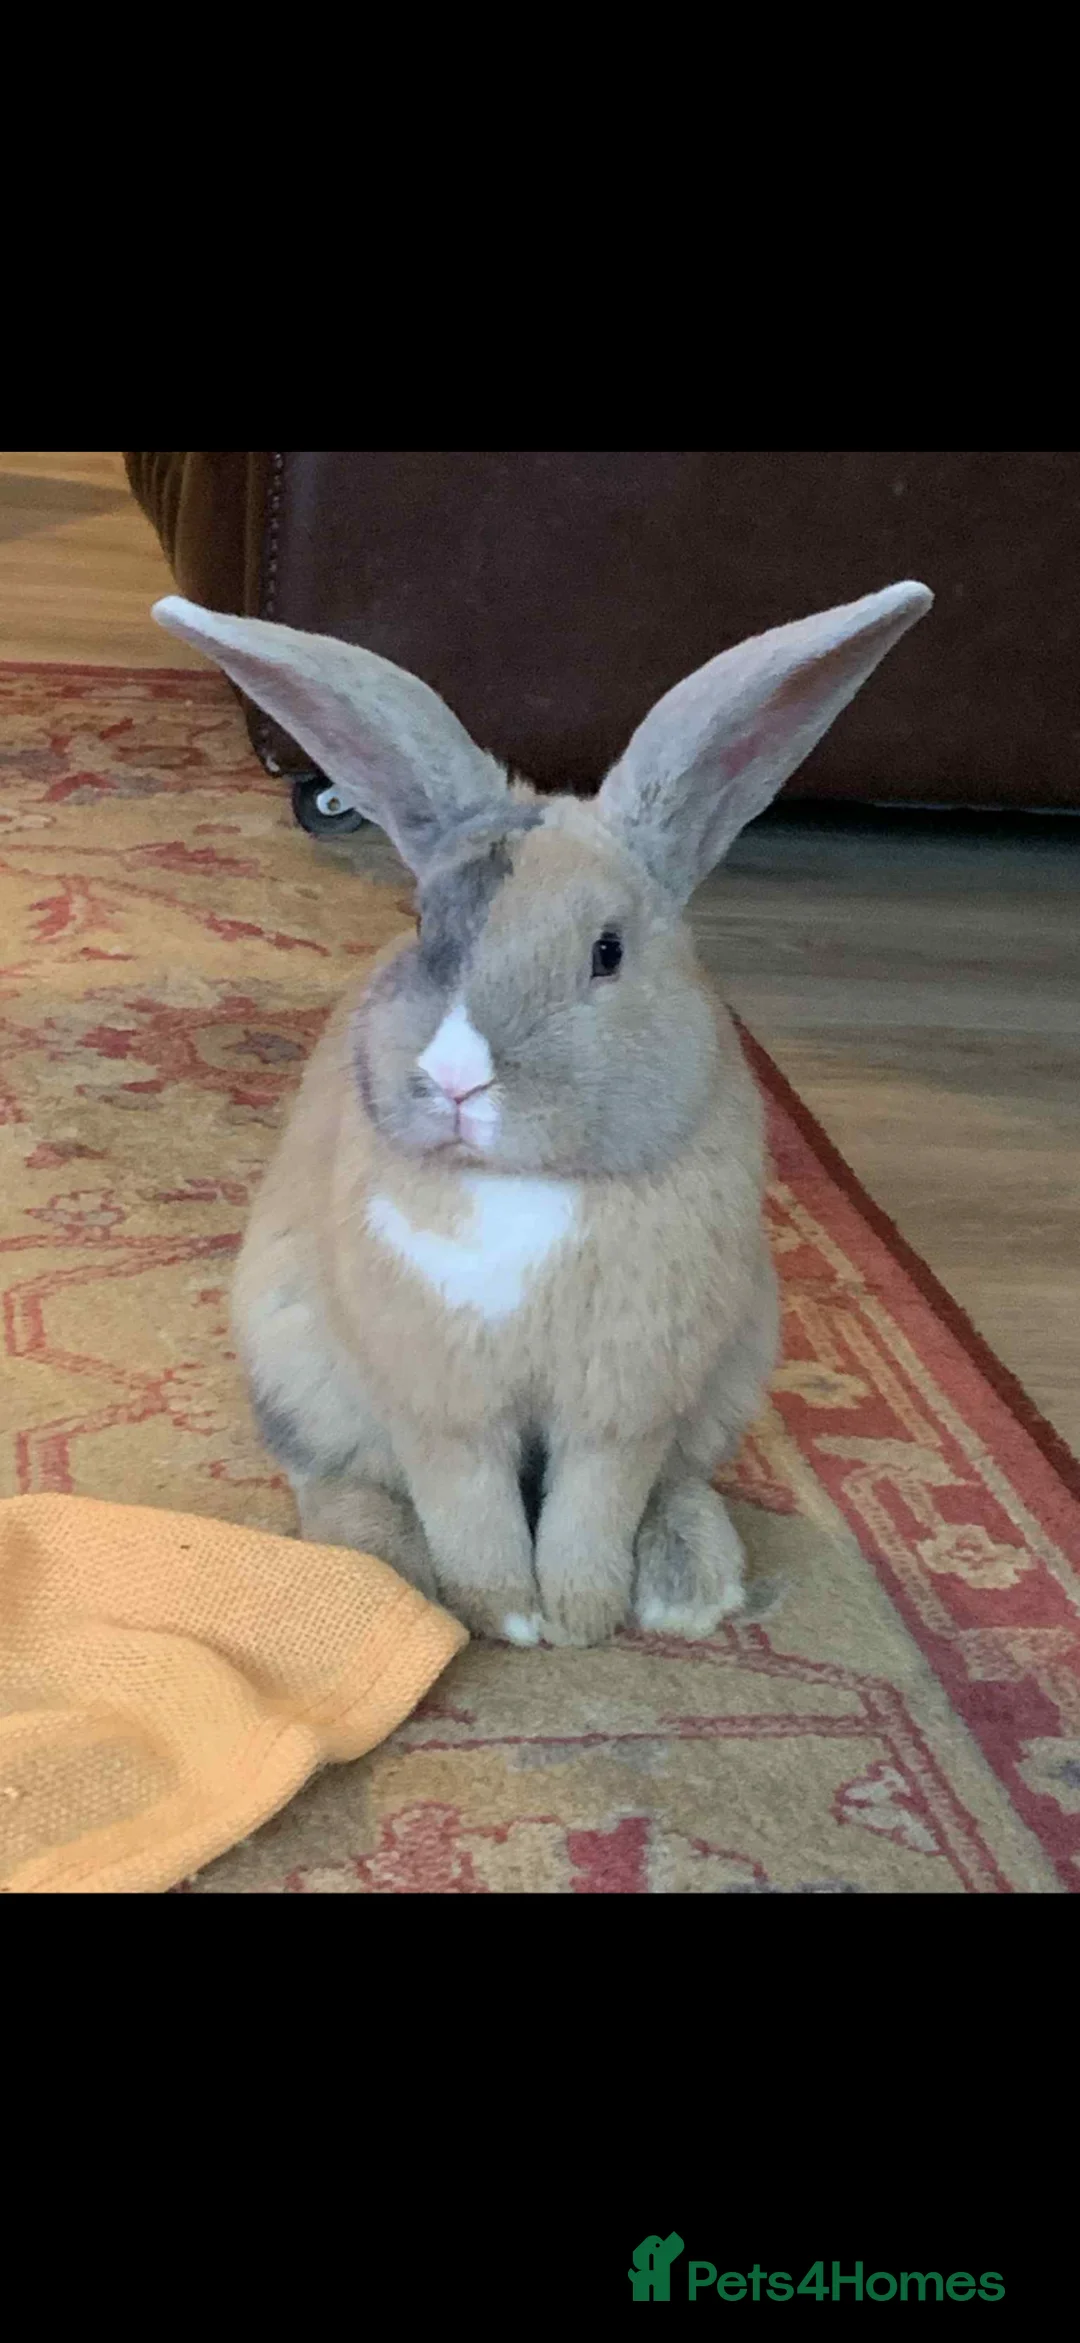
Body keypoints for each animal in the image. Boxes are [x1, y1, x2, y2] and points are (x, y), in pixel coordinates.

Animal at [153, 579, 932, 1646]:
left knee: (679, 1484)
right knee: (337, 1483)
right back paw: (385, 1576)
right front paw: (508, 1619)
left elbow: (596, 1501)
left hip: (733, 1370)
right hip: (296, 1361)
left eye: (607, 952)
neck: (522, 1186)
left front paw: (579, 1618)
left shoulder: (624, 1402)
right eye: (422, 926)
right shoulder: (441, 1401)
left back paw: (687, 1590)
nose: (455, 1080)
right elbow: (468, 1504)